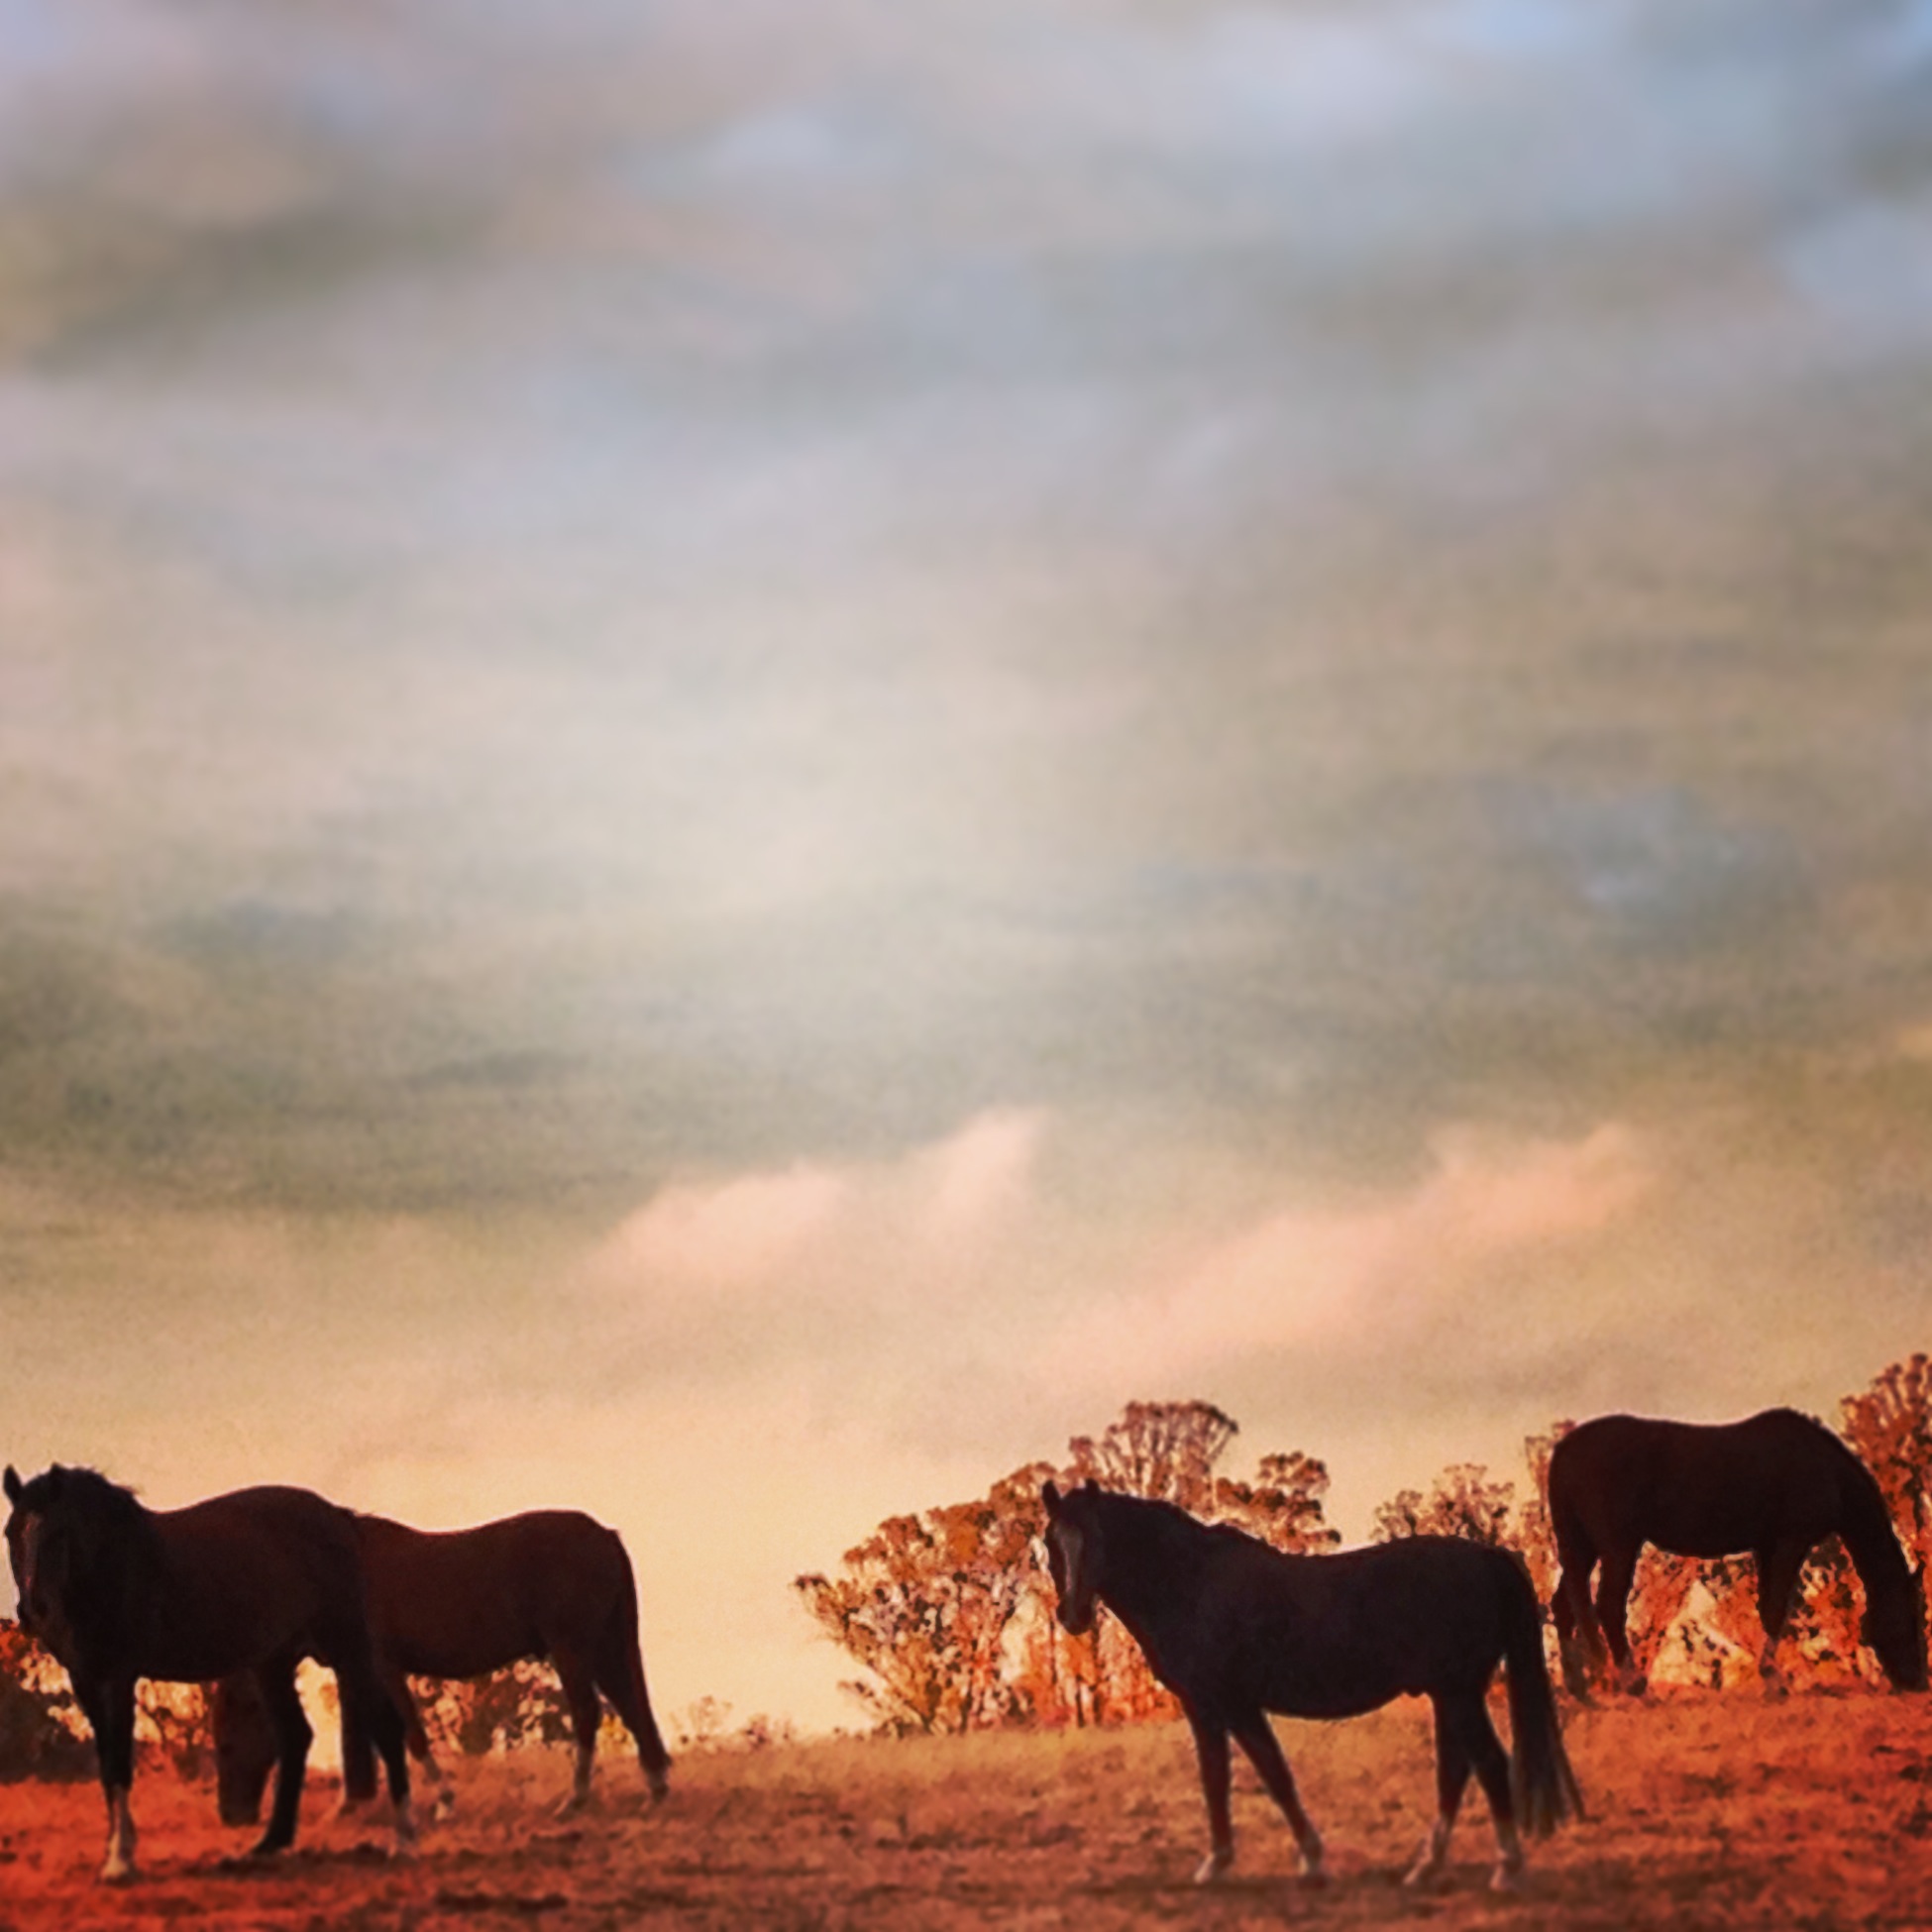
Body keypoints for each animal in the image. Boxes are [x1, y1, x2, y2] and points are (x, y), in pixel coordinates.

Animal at [3, 1463, 413, 1882]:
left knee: (387, 1728)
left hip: (347, 1649)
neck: (114, 1565)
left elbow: (118, 1763)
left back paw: (402, 1840)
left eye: (58, 1533)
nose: (32, 1611)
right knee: (296, 1736)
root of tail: (341, 1518)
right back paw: (270, 1843)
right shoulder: (85, 1680)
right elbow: (106, 1766)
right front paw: (117, 1854)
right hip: (274, 1663)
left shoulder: (118, 1678)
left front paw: (120, 1860)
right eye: (11, 1532)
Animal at [213, 1507, 671, 1826]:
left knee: (588, 1713)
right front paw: (348, 1806)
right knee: (629, 1705)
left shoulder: (383, 1668)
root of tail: (604, 1535)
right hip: (603, 1647)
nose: (232, 1815)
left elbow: (410, 1734)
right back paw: (654, 1789)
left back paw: (574, 1800)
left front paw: (444, 1803)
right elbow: (356, 1739)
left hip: (572, 1648)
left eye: (229, 1738)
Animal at [1040, 1480, 1582, 1893]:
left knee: (1487, 1764)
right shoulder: (1226, 1707)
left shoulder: (1219, 1705)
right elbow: (1259, 1775)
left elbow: (1242, 1777)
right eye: (1050, 1542)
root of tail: (1489, 1558)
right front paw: (1299, 1859)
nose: (1074, 1614)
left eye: (1098, 1538)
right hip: (1449, 1694)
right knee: (1456, 1770)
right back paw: (1426, 1867)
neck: (1190, 1584)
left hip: (1459, 1692)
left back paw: (1506, 1869)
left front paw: (1229, 1863)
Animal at [1547, 1408, 1928, 1697]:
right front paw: (1774, 1682)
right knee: (1608, 1606)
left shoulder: (1767, 1546)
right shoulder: (1791, 1541)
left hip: (1581, 1547)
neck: (1825, 1467)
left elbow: (1766, 1608)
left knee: (1564, 1606)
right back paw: (1631, 1681)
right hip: (1617, 1545)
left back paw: (1578, 1688)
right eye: (1911, 1617)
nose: (1919, 1681)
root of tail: (1564, 1451)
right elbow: (1776, 1609)